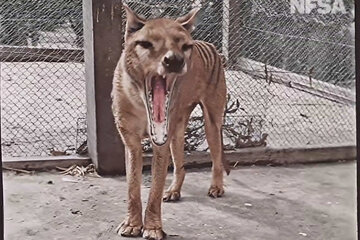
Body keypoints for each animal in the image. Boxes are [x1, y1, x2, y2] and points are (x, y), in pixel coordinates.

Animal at [111, 4, 231, 240]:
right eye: (146, 43)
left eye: (185, 46)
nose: (175, 60)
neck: (141, 104)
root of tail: (210, 45)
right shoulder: (131, 142)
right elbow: (132, 187)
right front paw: (132, 224)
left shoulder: (160, 143)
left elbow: (155, 190)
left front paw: (152, 227)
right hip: (177, 131)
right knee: (180, 167)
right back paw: (174, 190)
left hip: (211, 124)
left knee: (217, 159)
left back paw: (216, 186)